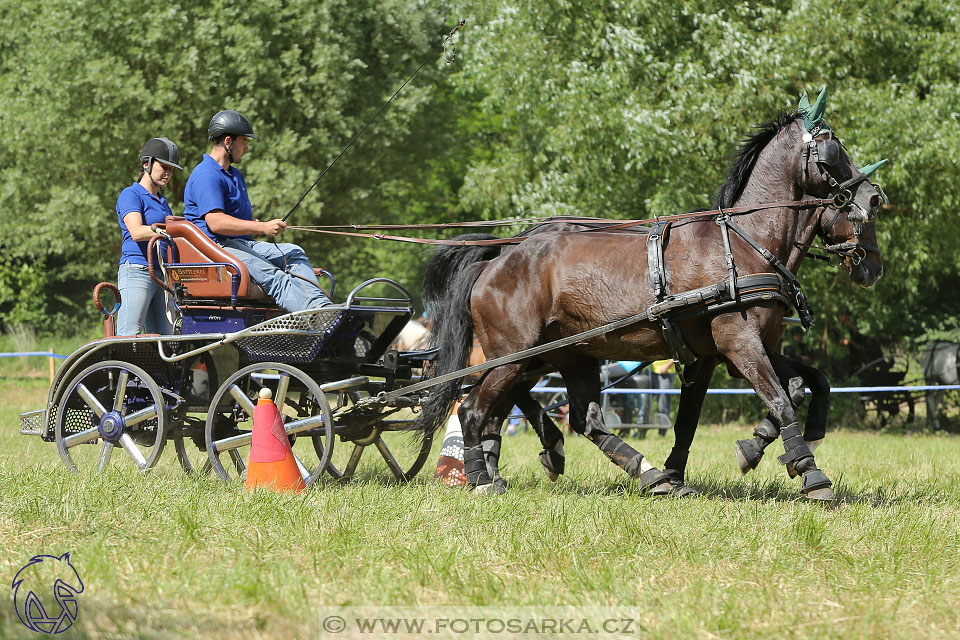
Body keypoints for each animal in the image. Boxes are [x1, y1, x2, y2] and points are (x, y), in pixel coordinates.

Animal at [420, 90, 884, 500]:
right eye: (832, 150)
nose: (875, 197)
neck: (743, 243)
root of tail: (498, 259)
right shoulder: (737, 342)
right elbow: (782, 400)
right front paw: (811, 474)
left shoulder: (728, 351)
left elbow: (799, 385)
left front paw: (740, 453)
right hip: (513, 355)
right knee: (475, 409)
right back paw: (483, 478)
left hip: (567, 355)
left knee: (578, 418)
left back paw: (641, 472)